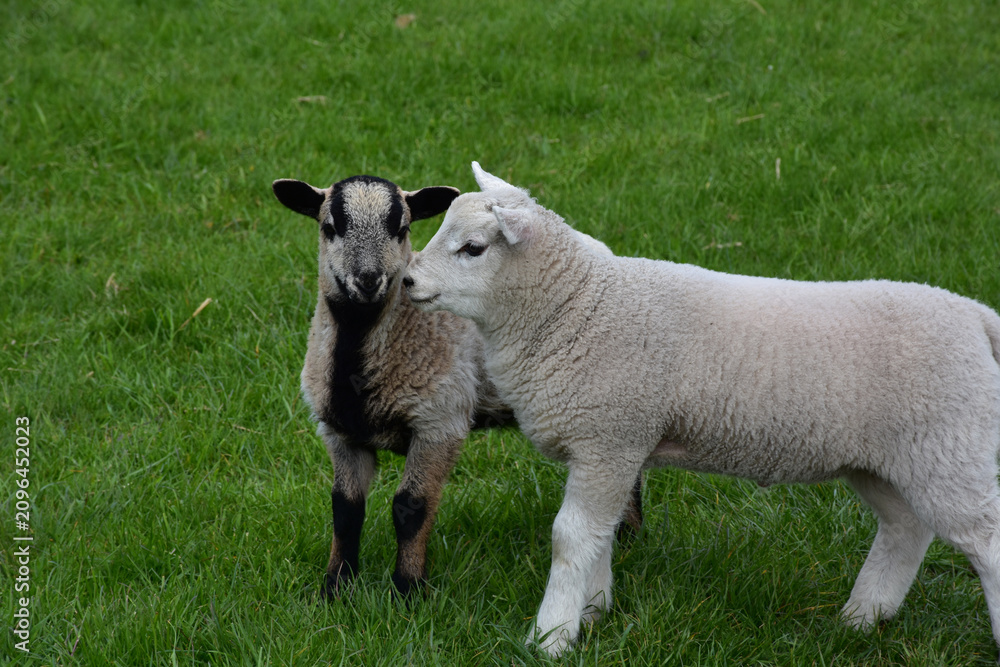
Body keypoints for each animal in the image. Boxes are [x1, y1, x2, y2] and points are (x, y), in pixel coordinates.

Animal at [273, 173, 643, 598]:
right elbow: (345, 509)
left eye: (401, 229)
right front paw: (336, 588)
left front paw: (407, 590)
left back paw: (629, 536)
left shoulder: (440, 422)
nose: (368, 281)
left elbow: (410, 508)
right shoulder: (340, 432)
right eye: (330, 227)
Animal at [403, 162, 1000, 657]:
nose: (406, 280)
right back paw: (861, 618)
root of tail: (974, 315)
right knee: (905, 528)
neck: (575, 305)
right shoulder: (613, 446)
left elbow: (571, 537)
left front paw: (550, 637)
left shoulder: (610, 436)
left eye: (474, 248)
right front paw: (592, 614)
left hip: (949, 445)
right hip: (887, 459)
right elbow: (599, 536)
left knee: (985, 540)